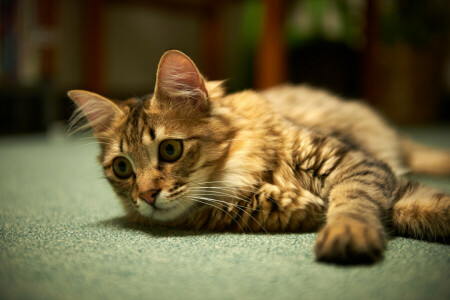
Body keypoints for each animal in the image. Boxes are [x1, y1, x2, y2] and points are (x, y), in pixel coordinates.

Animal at [67, 49, 450, 264]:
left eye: (170, 149)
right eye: (122, 168)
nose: (146, 196)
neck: (241, 180)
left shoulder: (359, 164)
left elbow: (357, 201)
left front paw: (348, 233)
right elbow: (416, 209)